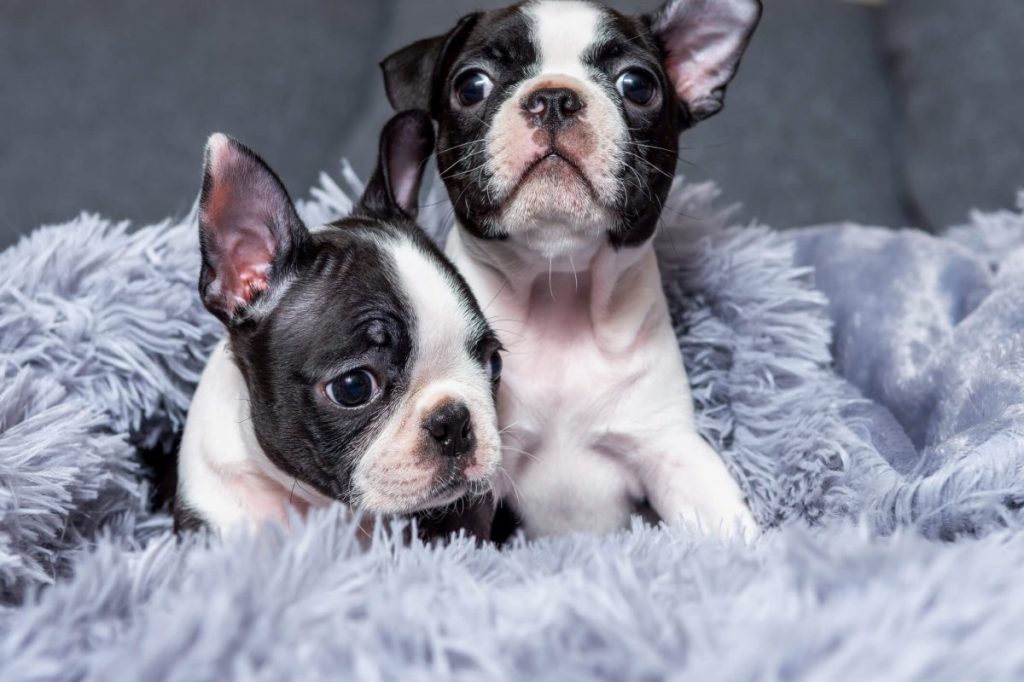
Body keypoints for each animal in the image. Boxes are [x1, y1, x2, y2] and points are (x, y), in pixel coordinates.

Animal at [382, 0, 761, 536]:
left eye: (637, 85)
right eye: (472, 85)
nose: (554, 97)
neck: (558, 291)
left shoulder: (672, 450)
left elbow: (727, 525)